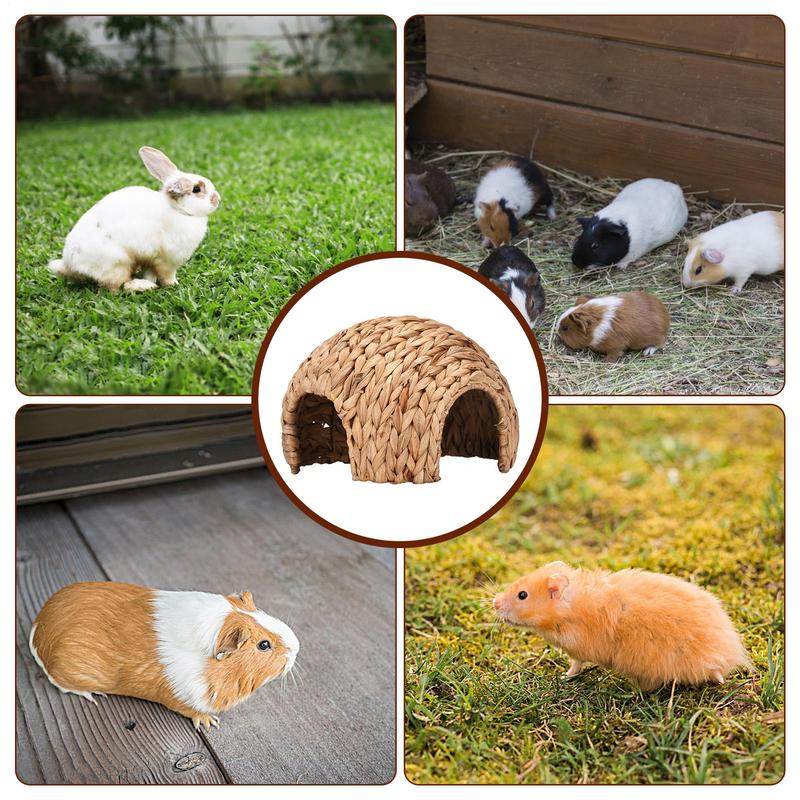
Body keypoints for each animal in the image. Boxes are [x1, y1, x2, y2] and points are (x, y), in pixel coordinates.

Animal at [29, 582, 298, 731]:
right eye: (264, 645)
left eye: (261, 612)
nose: (296, 647)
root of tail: (39, 630)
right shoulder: (181, 693)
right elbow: (190, 709)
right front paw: (210, 723)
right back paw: (95, 695)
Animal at [47, 146, 220, 293]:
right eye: (196, 189)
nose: (217, 200)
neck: (178, 210)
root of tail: (70, 265)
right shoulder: (167, 260)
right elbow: (167, 276)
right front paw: (174, 285)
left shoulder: (151, 259)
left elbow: (150, 272)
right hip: (118, 263)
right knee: (118, 287)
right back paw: (143, 287)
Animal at [493, 561, 752, 690]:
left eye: (522, 595)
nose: (494, 603)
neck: (569, 609)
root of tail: (730, 655)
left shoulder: (578, 648)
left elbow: (575, 665)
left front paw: (562, 678)